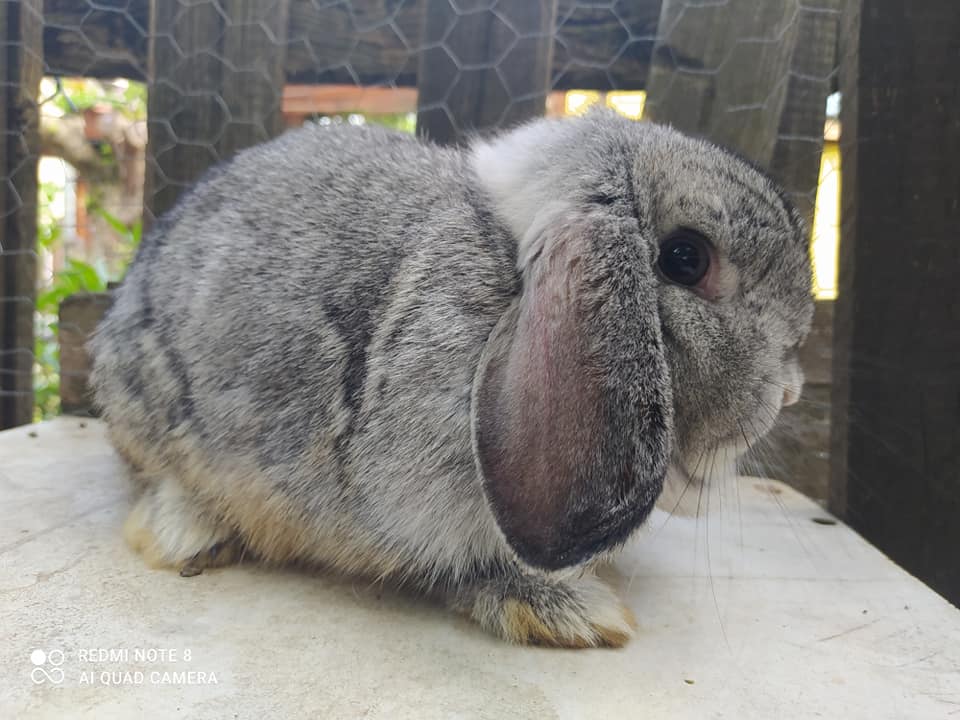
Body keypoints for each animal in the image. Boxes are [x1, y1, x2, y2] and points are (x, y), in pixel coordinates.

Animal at [88, 111, 808, 648]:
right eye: (686, 258)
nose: (790, 393)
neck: (504, 284)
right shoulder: (408, 500)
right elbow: (457, 566)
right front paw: (575, 613)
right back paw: (187, 533)